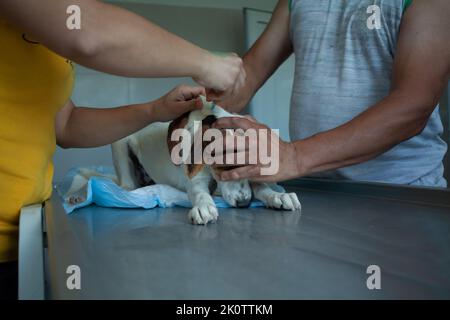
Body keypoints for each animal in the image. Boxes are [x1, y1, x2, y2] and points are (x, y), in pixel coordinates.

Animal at [110, 96, 300, 224]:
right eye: (223, 165)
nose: (244, 203)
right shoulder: (196, 180)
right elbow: (200, 193)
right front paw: (204, 206)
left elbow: (261, 186)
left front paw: (278, 195)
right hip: (119, 143)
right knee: (127, 182)